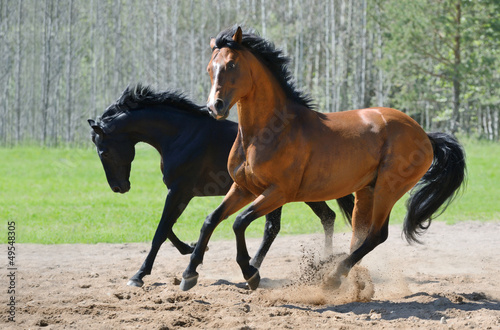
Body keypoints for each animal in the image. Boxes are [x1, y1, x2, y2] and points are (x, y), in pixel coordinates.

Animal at [88, 84, 354, 288]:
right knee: (323, 217)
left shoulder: (180, 190)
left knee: (282, 226)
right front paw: (191, 249)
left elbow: (161, 231)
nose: (119, 187)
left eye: (104, 151)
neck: (182, 135)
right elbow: (167, 227)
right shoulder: (181, 193)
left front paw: (139, 276)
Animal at [179, 27, 464, 292]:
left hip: (388, 190)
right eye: (210, 67)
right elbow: (211, 220)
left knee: (376, 235)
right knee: (359, 237)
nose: (214, 107)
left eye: (232, 65)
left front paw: (251, 273)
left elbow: (240, 223)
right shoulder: (244, 189)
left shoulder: (278, 193)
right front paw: (189, 274)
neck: (268, 131)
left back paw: (333, 277)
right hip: (366, 191)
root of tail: (424, 135)